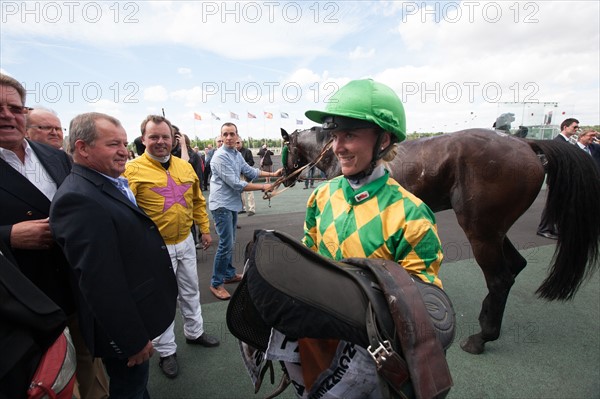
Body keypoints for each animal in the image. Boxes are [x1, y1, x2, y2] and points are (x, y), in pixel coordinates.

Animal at [282, 126, 600, 354]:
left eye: (285, 150)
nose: (284, 177)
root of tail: (526, 144)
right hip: (494, 229)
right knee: (515, 265)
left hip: (479, 228)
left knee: (500, 278)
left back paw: (481, 337)